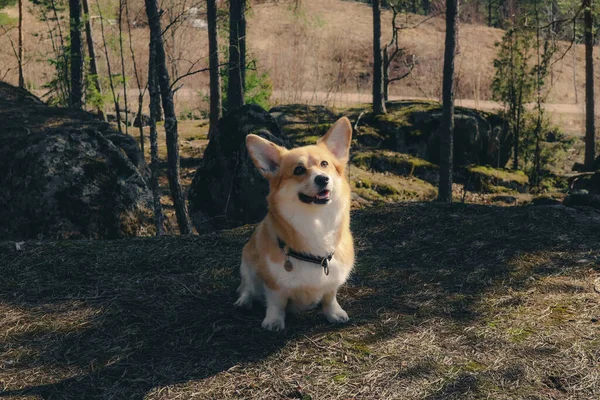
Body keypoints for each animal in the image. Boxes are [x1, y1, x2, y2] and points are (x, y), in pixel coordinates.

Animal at [234, 116, 354, 332]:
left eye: (325, 164)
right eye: (298, 170)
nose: (323, 179)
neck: (315, 223)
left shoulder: (332, 280)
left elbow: (329, 297)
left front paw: (334, 313)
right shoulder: (274, 282)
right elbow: (276, 302)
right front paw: (273, 321)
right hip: (247, 261)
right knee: (248, 286)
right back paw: (244, 301)